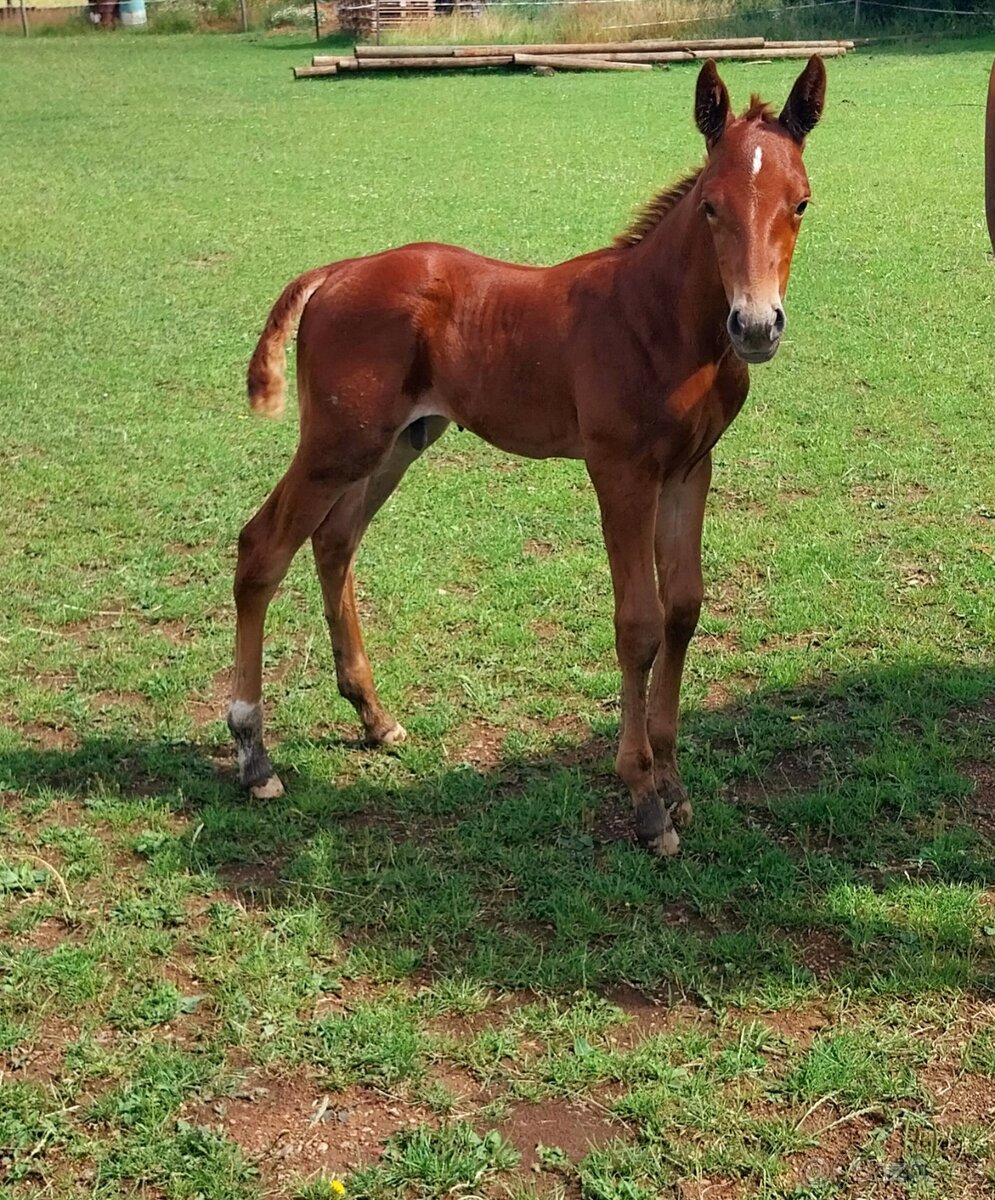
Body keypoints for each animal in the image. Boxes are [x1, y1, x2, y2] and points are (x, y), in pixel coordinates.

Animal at [229, 56, 825, 854]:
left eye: (799, 203)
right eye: (709, 206)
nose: (755, 326)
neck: (662, 320)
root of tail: (339, 269)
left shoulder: (689, 469)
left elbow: (683, 608)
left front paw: (674, 786)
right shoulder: (620, 471)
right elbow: (637, 624)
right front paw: (643, 799)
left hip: (396, 442)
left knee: (335, 541)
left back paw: (374, 717)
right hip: (336, 443)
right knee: (263, 547)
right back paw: (254, 754)